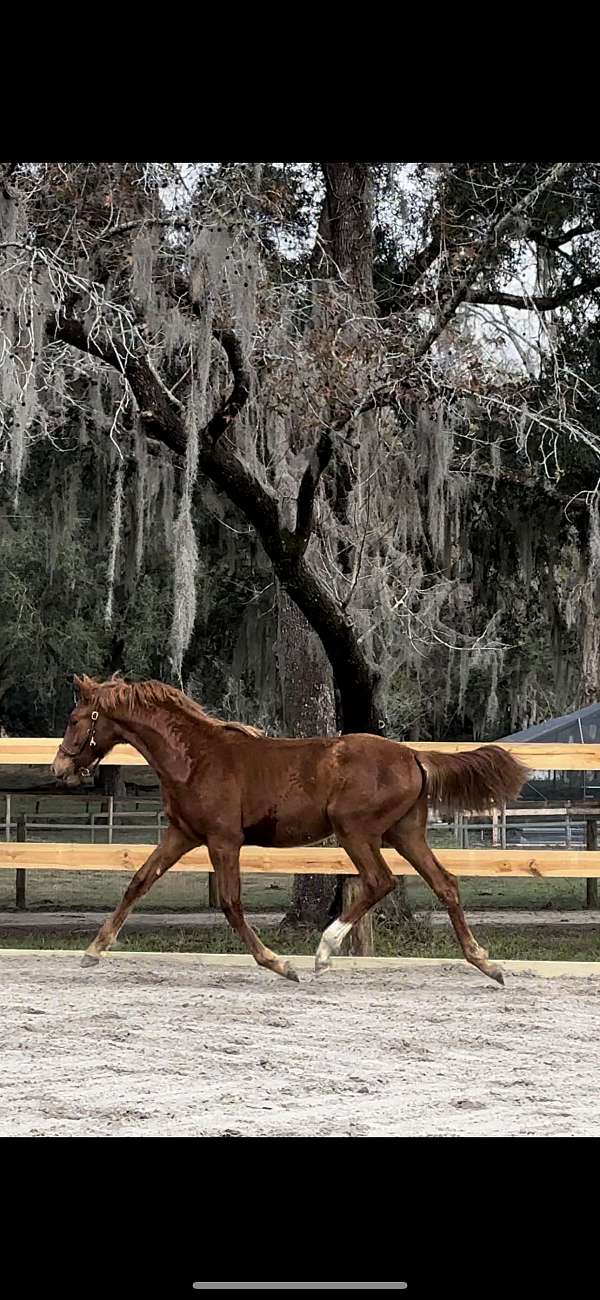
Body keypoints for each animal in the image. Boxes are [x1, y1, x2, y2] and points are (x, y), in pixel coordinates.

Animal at [53, 681, 527, 982]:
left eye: (75, 718)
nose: (59, 768)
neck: (196, 758)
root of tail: (414, 755)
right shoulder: (182, 835)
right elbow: (139, 882)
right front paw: (93, 951)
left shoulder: (223, 841)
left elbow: (230, 903)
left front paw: (281, 964)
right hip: (405, 834)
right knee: (445, 883)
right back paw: (486, 963)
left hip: (356, 831)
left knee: (380, 880)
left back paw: (322, 953)